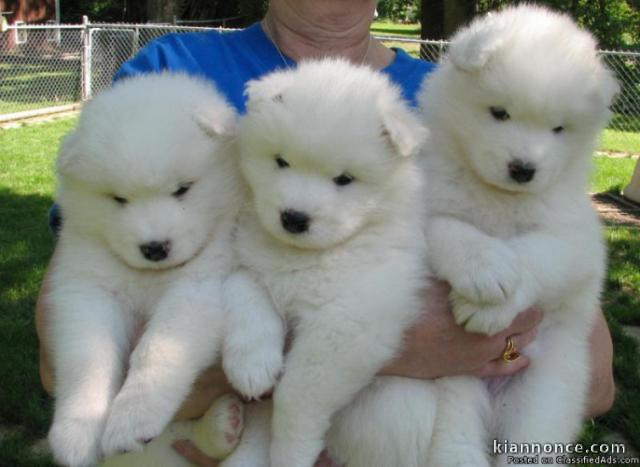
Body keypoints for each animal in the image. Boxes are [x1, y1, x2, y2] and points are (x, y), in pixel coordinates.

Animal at [47, 75, 282, 466]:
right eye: (118, 199)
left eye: (182, 189)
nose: (154, 248)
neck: (150, 277)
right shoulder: (87, 290)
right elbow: (87, 358)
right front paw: (76, 433)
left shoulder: (196, 289)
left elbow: (157, 350)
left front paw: (131, 419)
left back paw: (222, 424)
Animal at [221, 59, 436, 467]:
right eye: (281, 162)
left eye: (344, 179)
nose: (293, 218)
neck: (306, 256)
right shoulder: (245, 252)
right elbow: (246, 290)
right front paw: (251, 364)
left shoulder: (348, 322)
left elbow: (296, 395)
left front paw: (289, 452)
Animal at [418, 4, 616, 467]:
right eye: (499, 113)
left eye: (559, 129)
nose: (524, 168)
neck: (499, 197)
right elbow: (451, 228)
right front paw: (485, 270)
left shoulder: (575, 241)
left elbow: (534, 257)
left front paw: (493, 304)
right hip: (452, 380)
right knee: (455, 430)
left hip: (541, 395)